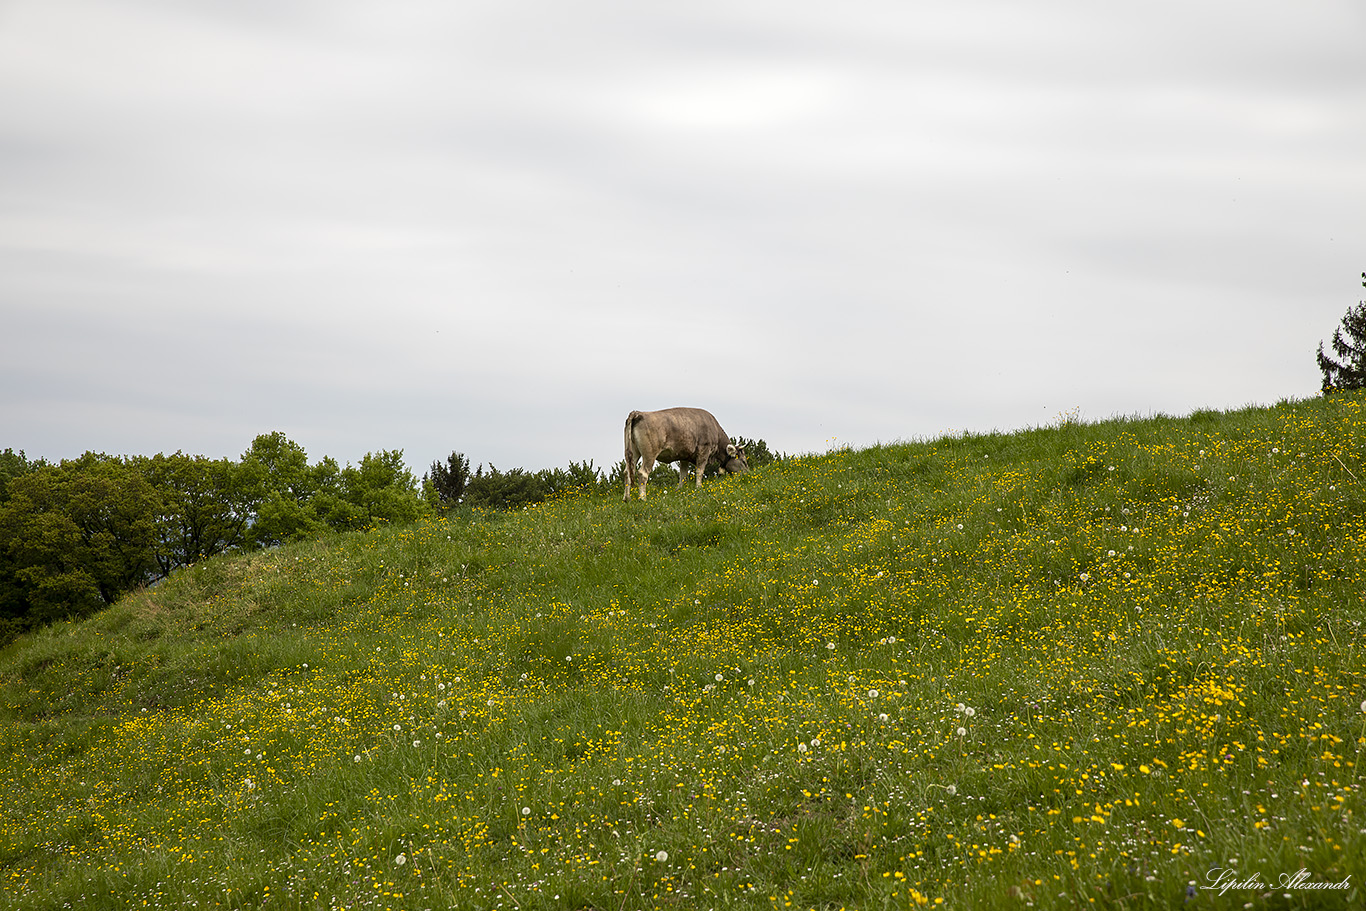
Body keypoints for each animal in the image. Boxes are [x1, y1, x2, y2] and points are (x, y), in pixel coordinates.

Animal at [625, 409, 754, 502]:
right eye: (743, 461)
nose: (748, 475)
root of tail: (638, 413)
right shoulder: (704, 451)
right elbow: (699, 471)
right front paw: (699, 488)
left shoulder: (684, 457)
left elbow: (683, 475)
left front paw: (679, 490)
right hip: (649, 454)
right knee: (642, 473)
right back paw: (643, 498)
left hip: (633, 452)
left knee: (627, 472)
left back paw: (627, 498)